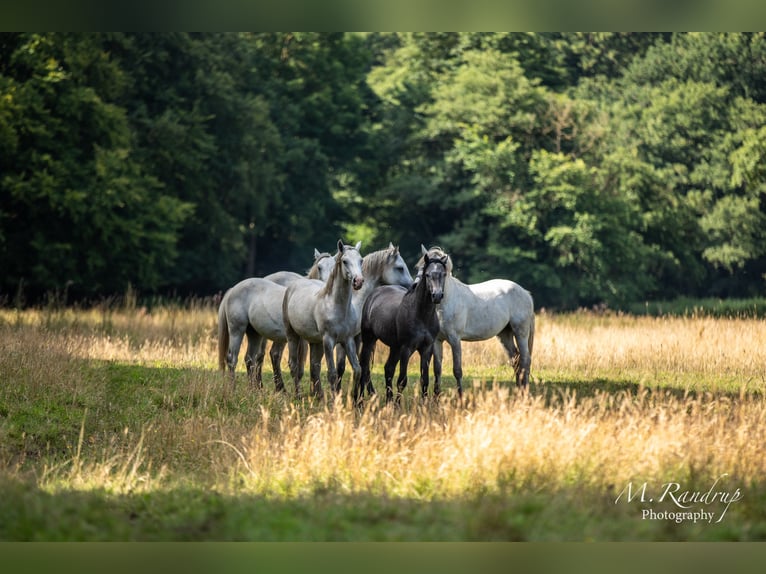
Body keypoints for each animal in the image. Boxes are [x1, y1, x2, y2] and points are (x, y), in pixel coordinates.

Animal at [218, 249, 334, 392]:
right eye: (319, 267)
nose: (327, 286)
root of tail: (233, 289)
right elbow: (300, 368)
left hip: (254, 333)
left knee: (250, 359)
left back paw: (254, 389)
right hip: (237, 330)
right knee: (232, 359)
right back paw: (234, 388)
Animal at [282, 241, 366, 398]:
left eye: (361, 260)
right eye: (345, 261)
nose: (358, 281)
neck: (337, 306)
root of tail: (293, 286)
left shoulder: (348, 340)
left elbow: (357, 370)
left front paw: (354, 400)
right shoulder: (328, 340)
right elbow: (332, 374)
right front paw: (334, 402)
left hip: (315, 342)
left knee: (314, 366)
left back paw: (318, 396)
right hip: (292, 335)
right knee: (294, 364)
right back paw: (298, 395)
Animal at [358, 248, 450, 404]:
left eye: (443, 274)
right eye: (427, 274)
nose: (437, 296)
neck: (421, 314)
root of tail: (375, 293)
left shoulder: (426, 349)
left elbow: (424, 379)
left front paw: (424, 405)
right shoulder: (406, 349)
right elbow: (402, 380)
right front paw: (397, 405)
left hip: (395, 347)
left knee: (388, 369)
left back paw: (388, 400)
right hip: (369, 339)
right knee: (364, 367)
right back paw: (359, 400)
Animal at [416, 245, 536, 398]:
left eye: (443, 274)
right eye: (425, 273)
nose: (436, 296)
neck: (446, 303)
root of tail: (525, 293)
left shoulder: (455, 340)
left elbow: (457, 370)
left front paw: (461, 397)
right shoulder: (437, 340)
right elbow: (437, 370)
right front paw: (436, 397)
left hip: (521, 333)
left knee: (525, 360)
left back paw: (524, 394)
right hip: (505, 335)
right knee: (516, 360)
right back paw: (518, 393)